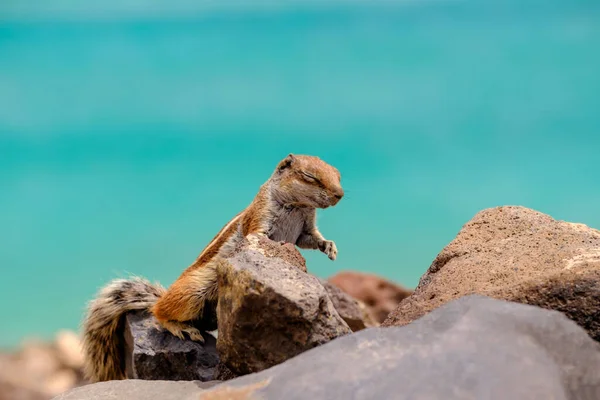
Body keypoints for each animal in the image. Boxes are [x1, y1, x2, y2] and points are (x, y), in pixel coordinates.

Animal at [82, 153, 344, 382]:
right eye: (309, 176)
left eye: (338, 175)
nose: (339, 194)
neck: (298, 205)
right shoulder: (259, 219)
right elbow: (259, 237)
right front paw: (278, 246)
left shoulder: (305, 229)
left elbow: (311, 239)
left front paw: (330, 247)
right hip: (192, 293)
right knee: (158, 312)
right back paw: (181, 328)